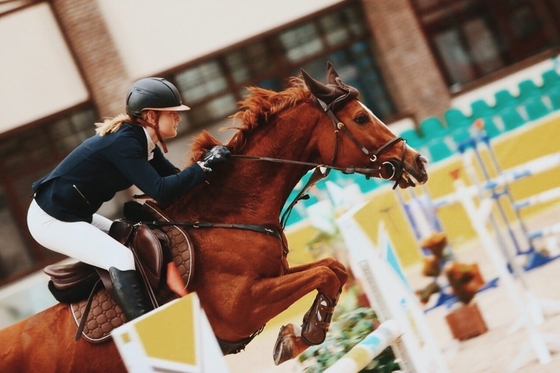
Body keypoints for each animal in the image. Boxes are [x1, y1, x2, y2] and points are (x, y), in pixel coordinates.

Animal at [0, 62, 428, 370]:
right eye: (360, 119)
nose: (418, 163)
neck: (226, 218)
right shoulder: (242, 308)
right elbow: (324, 273)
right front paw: (300, 337)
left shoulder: (273, 276)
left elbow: (333, 268)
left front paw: (303, 332)